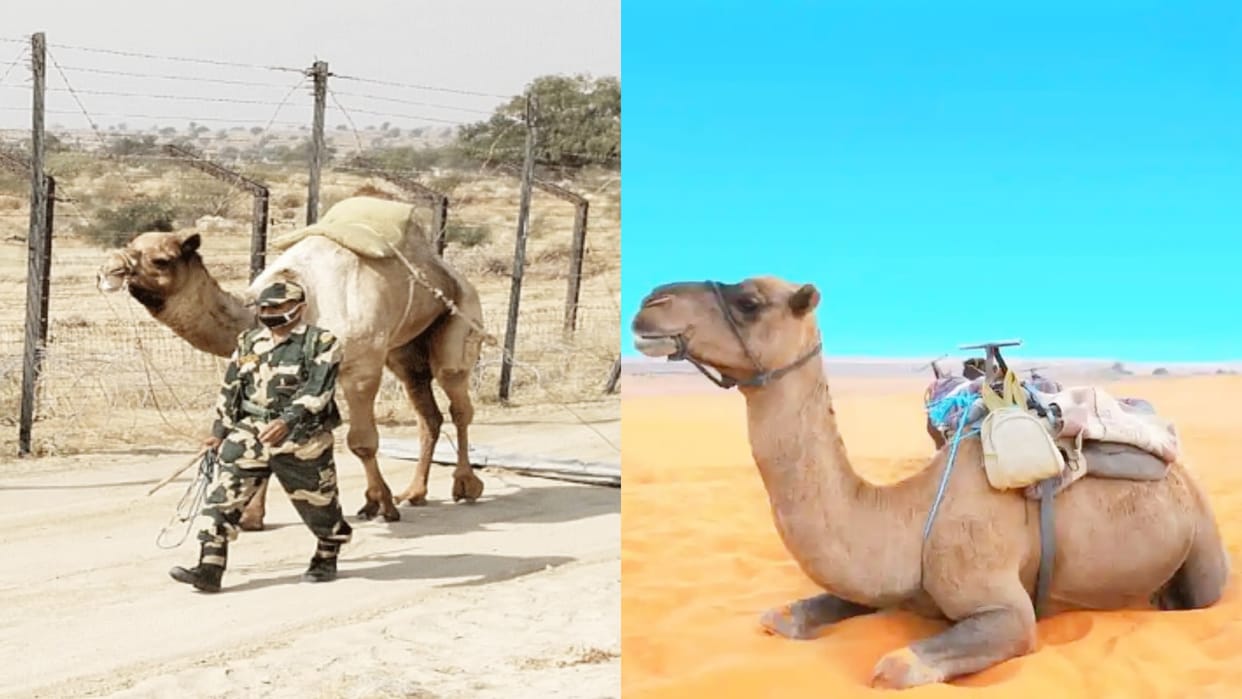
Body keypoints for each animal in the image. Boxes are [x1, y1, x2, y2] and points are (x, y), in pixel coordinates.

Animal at [96, 196, 487, 529]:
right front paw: (252, 517)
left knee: (457, 400)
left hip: (462, 316)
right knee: (426, 410)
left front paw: (381, 505)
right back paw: (415, 492)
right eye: (131, 246)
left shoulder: (361, 366)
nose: (107, 271)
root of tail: (447, 270)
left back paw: (465, 485)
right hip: (404, 351)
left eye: (161, 259)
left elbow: (361, 442)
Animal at [629, 276, 1229, 689]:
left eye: (750, 302)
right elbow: (782, 617)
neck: (912, 515)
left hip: (1202, 548)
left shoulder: (1007, 611)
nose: (650, 303)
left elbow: (894, 665)